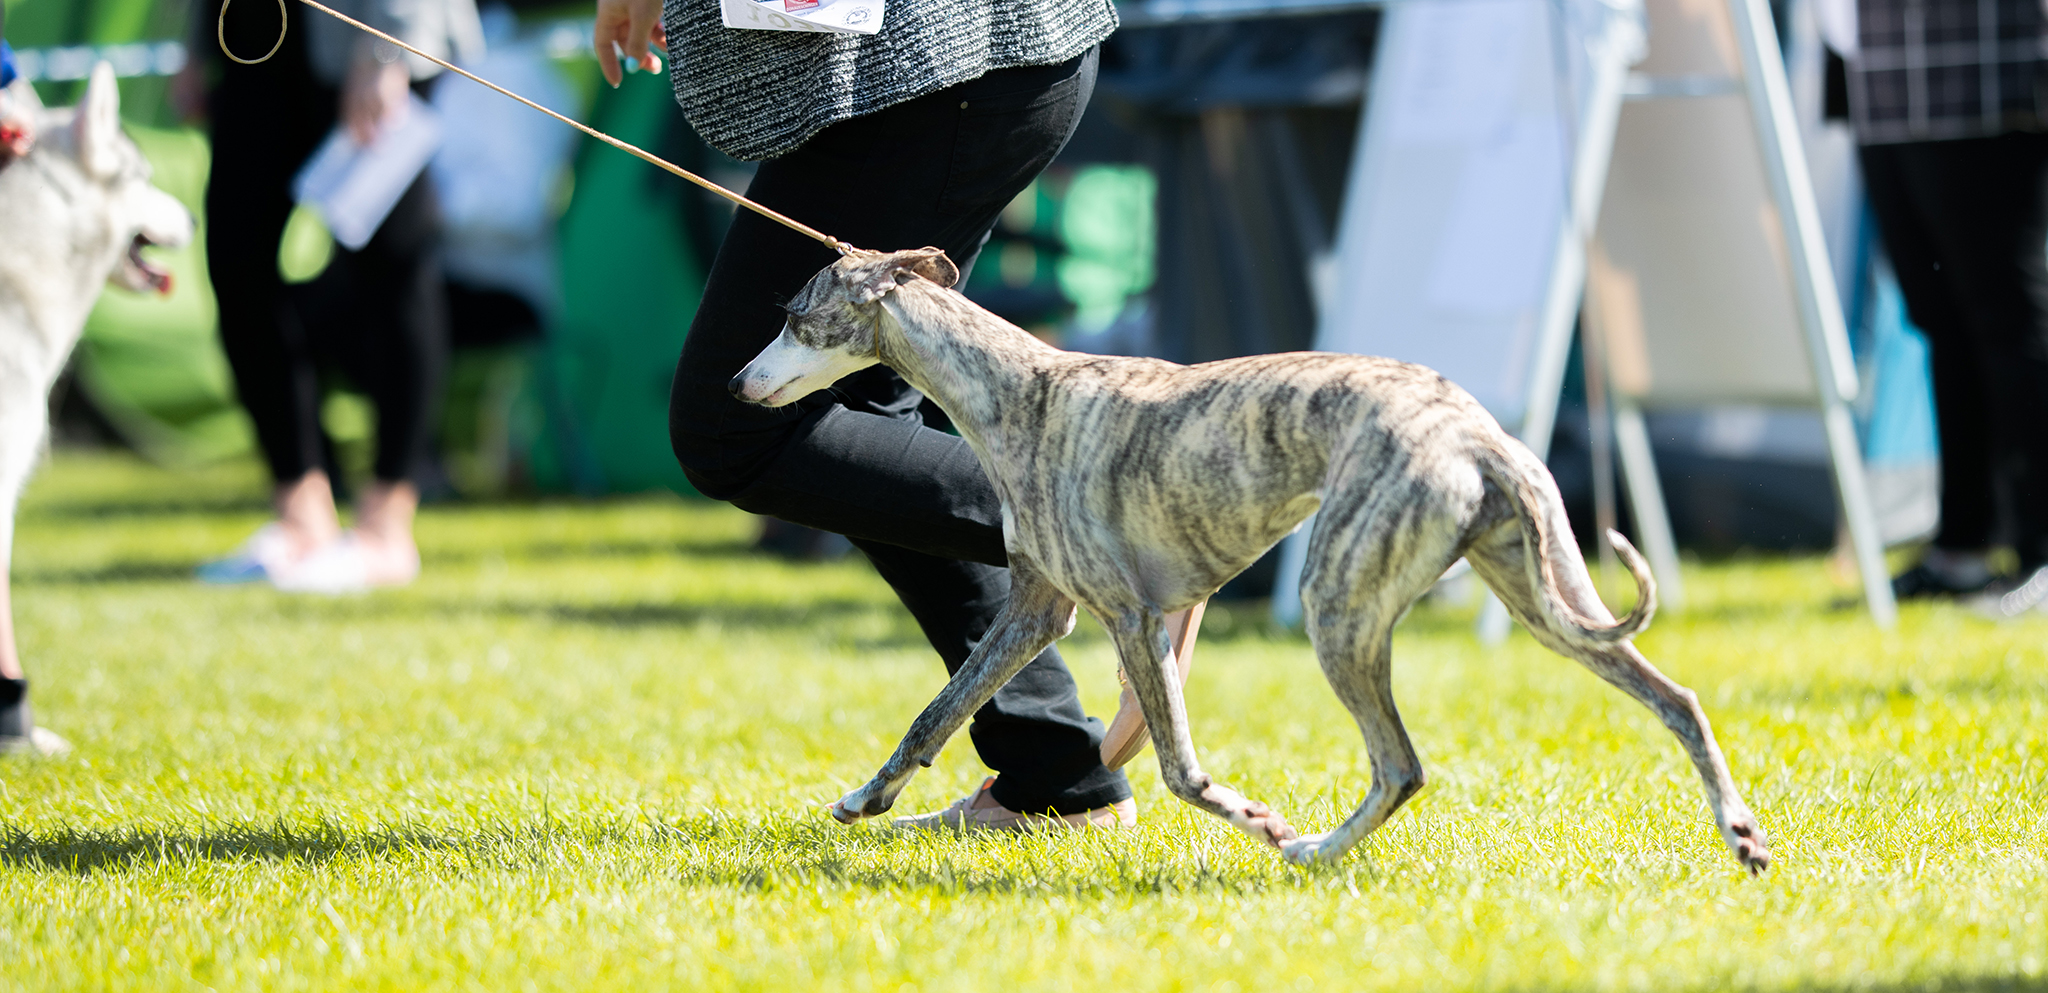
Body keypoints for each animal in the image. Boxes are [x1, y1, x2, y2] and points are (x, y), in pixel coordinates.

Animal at [729, 249, 1769, 876]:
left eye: (795, 316)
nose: (736, 385)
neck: (1022, 389)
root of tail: (1476, 436)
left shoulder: (1126, 617)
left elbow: (1182, 771)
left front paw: (1255, 817)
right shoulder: (1035, 610)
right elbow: (935, 712)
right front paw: (866, 797)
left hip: (1339, 603)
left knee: (1401, 765)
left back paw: (1307, 848)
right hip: (1545, 594)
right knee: (1677, 699)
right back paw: (1743, 834)